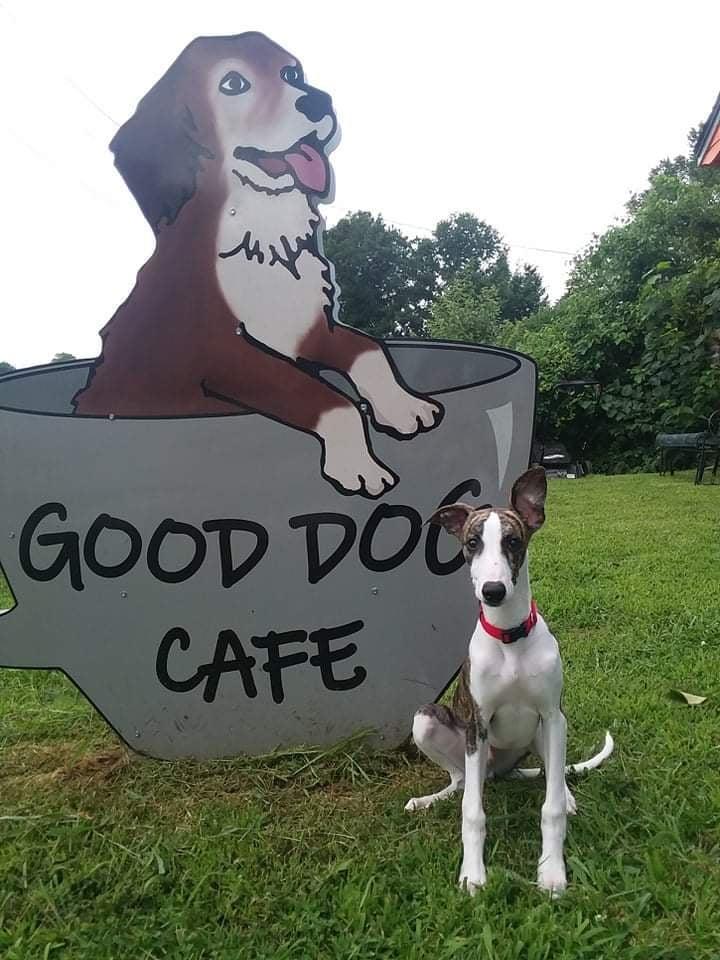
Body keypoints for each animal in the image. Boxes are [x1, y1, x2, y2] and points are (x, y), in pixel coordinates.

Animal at [74, 31, 444, 496]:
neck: (260, 236)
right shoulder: (227, 354)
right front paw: (360, 465)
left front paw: (405, 405)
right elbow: (326, 397)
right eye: (234, 84)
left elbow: (371, 349)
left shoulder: (309, 331)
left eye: (292, 74)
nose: (320, 101)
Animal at [404, 468, 612, 896]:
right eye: (472, 543)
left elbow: (550, 806)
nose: (493, 591)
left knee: (553, 773)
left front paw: (551, 871)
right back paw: (430, 799)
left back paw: (567, 795)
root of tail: (498, 772)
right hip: (429, 722)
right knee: (461, 780)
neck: (509, 637)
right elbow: (471, 811)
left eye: (513, 541)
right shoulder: (477, 724)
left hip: (545, 734)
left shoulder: (552, 715)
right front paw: (472, 874)